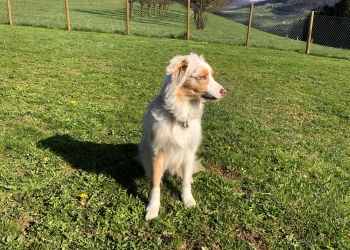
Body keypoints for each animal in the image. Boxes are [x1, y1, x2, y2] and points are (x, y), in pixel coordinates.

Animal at [138, 51, 226, 220]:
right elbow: (155, 185)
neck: (180, 114)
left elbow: (185, 182)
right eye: (202, 77)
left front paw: (188, 200)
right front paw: (152, 208)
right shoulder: (157, 152)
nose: (224, 91)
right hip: (144, 146)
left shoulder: (189, 152)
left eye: (212, 75)